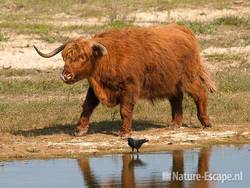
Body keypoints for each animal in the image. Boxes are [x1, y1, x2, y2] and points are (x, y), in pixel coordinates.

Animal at [34, 23, 216, 137]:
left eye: (82, 57)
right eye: (64, 56)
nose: (65, 75)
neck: (107, 60)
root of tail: (183, 29)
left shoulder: (129, 87)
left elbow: (125, 110)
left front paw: (124, 132)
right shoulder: (95, 88)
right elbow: (87, 106)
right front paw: (79, 130)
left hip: (188, 78)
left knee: (200, 94)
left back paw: (206, 122)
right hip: (170, 81)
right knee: (176, 99)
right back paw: (174, 124)